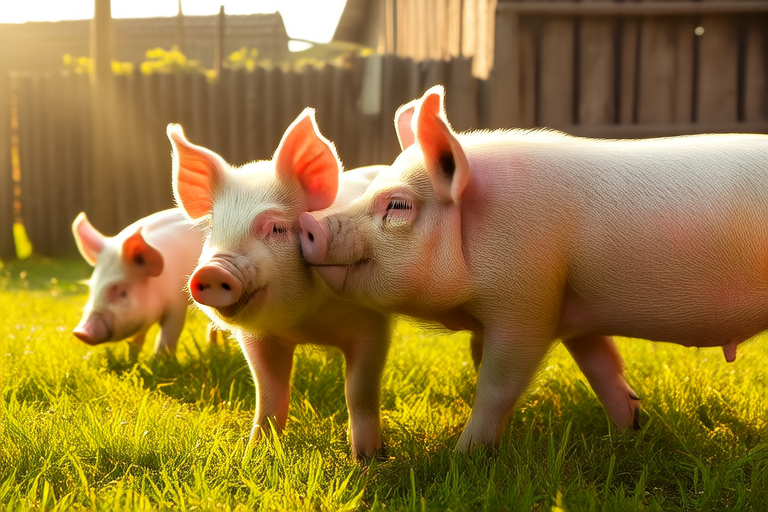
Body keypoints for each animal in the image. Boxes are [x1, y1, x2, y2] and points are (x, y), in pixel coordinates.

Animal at [72, 208, 206, 358]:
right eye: (92, 289)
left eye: (123, 293)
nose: (80, 332)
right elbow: (137, 339)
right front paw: (131, 358)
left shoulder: (177, 304)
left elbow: (169, 334)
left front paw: (158, 359)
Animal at [167, 109, 390, 459]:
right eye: (214, 227)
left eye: (276, 228)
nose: (213, 271)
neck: (306, 323)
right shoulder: (258, 337)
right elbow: (269, 394)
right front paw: (253, 455)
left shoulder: (372, 323)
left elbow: (359, 391)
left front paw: (366, 460)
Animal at [299, 84, 768, 452]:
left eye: (397, 205)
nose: (310, 223)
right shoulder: (571, 302)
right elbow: (603, 367)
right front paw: (631, 431)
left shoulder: (527, 301)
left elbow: (496, 384)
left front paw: (462, 456)